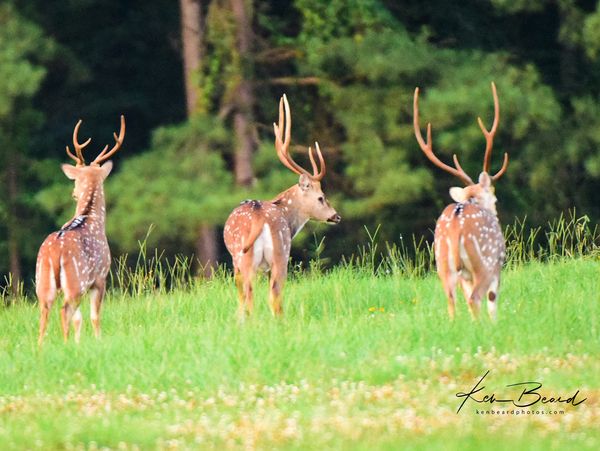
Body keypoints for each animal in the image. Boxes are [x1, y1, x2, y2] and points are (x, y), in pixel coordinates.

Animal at [35, 115, 125, 344]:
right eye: (75, 178)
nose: (74, 193)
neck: (91, 218)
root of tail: (54, 253)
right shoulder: (100, 276)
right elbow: (94, 316)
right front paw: (97, 341)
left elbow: (80, 319)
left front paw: (79, 343)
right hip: (76, 282)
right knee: (64, 311)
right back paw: (65, 345)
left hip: (43, 282)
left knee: (46, 313)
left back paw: (43, 348)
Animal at [223, 95, 340, 318]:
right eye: (321, 197)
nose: (336, 216)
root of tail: (260, 216)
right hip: (276, 254)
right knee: (268, 295)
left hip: (256, 257)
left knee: (256, 296)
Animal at [414, 82, 508, 322]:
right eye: (494, 197)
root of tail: (456, 227)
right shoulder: (497, 265)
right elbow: (492, 303)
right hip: (483, 262)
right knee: (475, 298)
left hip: (442, 264)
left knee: (452, 301)